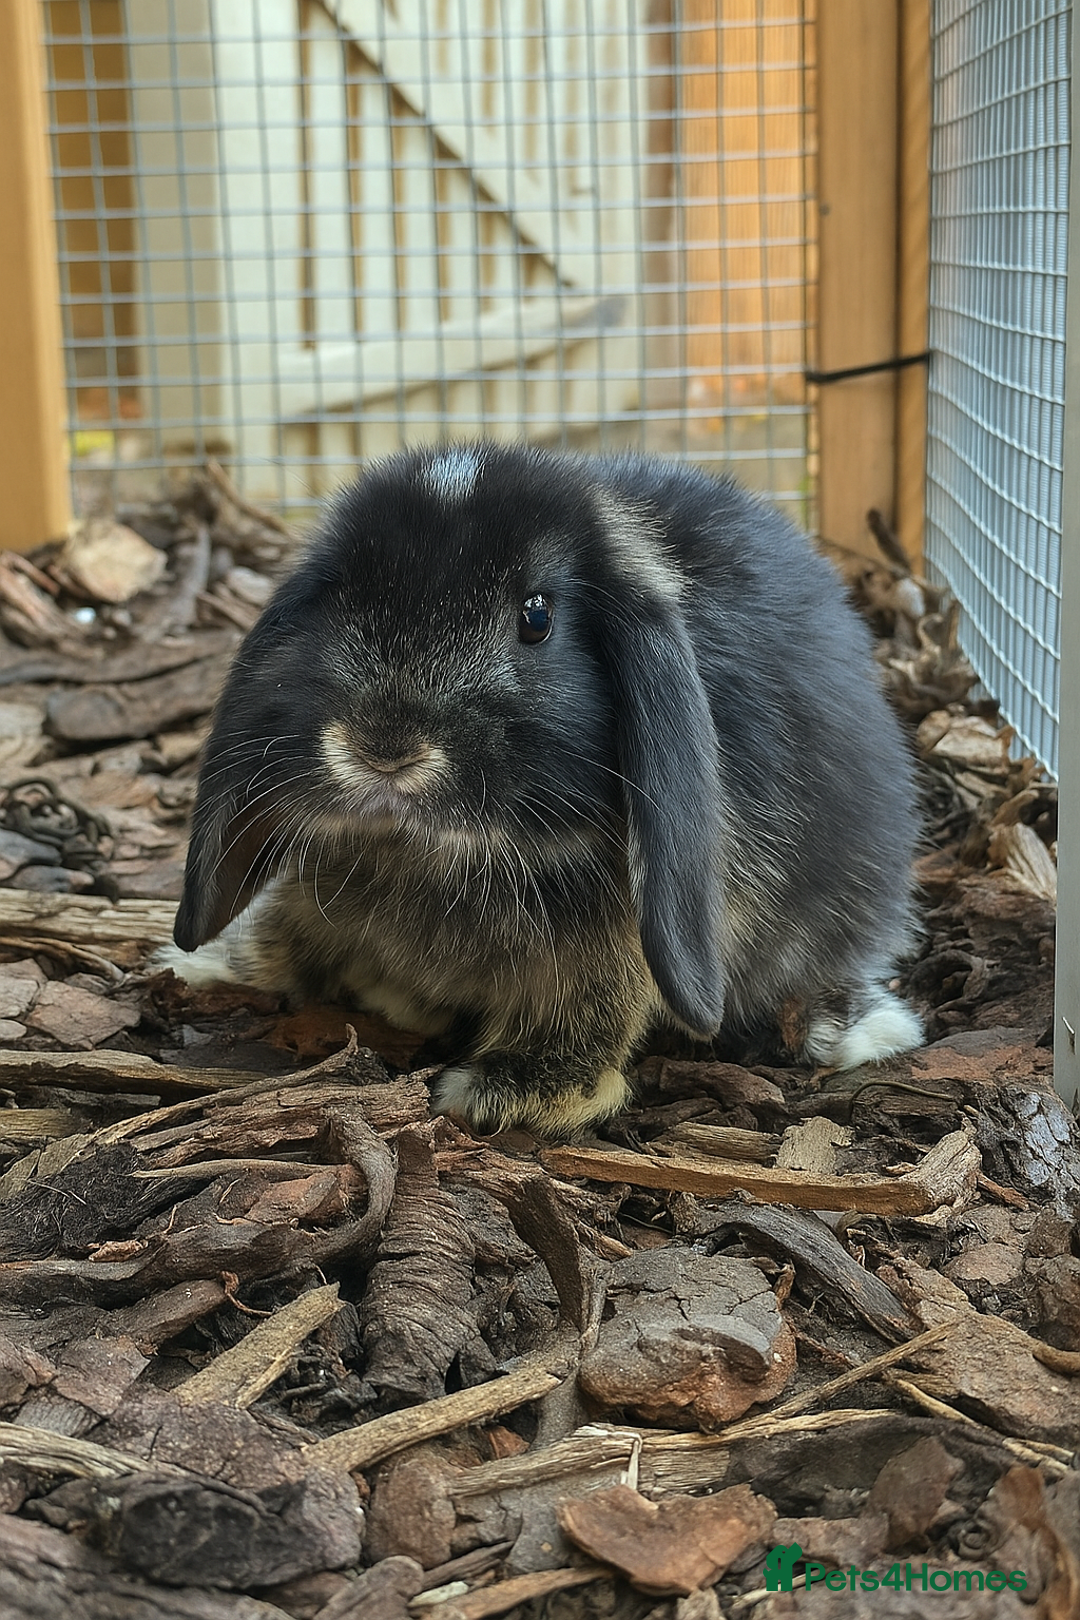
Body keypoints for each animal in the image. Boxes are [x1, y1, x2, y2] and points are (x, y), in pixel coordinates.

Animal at [164, 441, 924, 1136]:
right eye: (340, 600)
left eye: (536, 616)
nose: (383, 748)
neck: (429, 852)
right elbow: (295, 936)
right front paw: (213, 967)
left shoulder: (613, 952)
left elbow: (586, 1016)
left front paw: (509, 1091)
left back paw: (849, 1027)